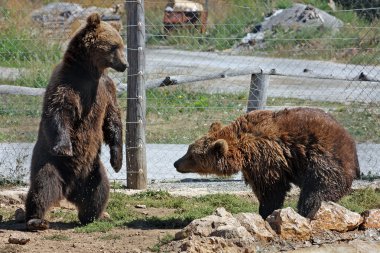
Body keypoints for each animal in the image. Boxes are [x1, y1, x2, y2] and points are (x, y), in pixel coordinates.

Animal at [24, 12, 127, 230]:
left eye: (121, 45)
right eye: (114, 46)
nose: (125, 65)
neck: (88, 72)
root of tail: (70, 190)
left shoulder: (106, 89)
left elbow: (112, 120)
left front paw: (117, 161)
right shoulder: (68, 83)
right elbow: (59, 111)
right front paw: (65, 147)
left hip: (93, 171)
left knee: (99, 191)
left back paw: (93, 216)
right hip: (50, 161)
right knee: (43, 185)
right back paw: (37, 219)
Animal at [174, 107, 360, 218]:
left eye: (192, 156)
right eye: (188, 150)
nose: (176, 163)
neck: (242, 151)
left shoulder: (266, 157)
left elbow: (271, 188)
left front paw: (265, 212)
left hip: (324, 161)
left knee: (316, 192)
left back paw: (305, 212)